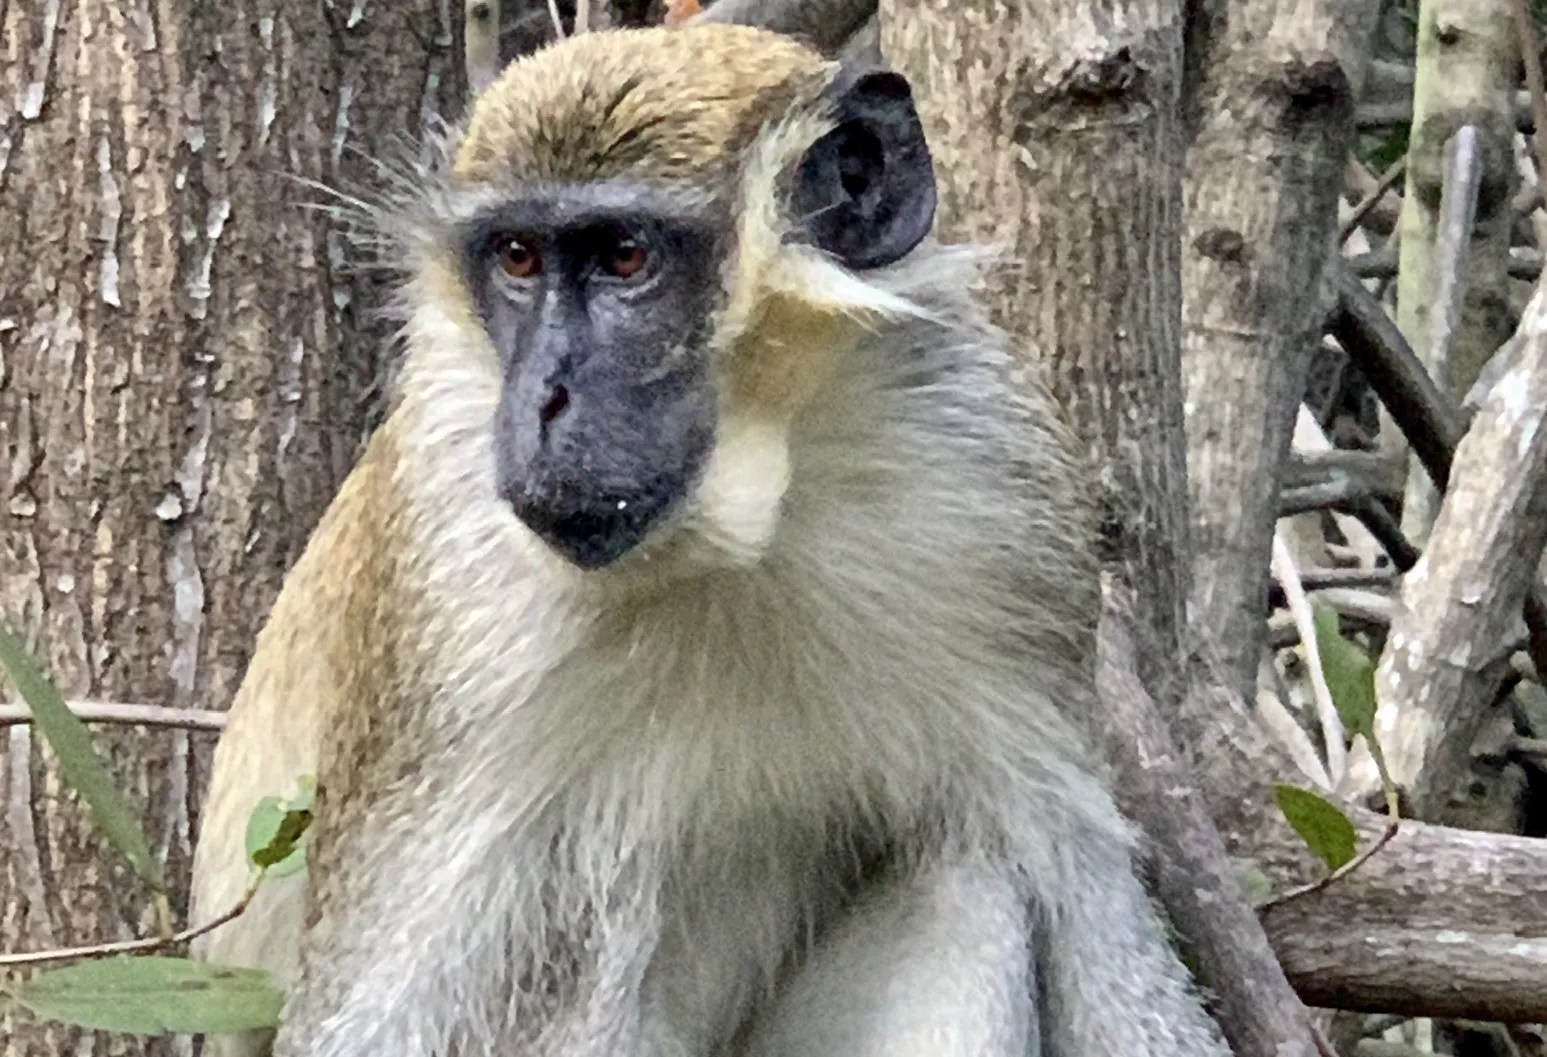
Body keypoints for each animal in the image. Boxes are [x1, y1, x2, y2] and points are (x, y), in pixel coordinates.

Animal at [189, 22, 1231, 1057]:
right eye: (518, 258)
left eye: (624, 258)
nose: (542, 400)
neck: (746, 533)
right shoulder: (453, 565)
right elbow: (381, 1013)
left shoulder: (1004, 501)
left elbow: (1080, 895)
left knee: (967, 883)